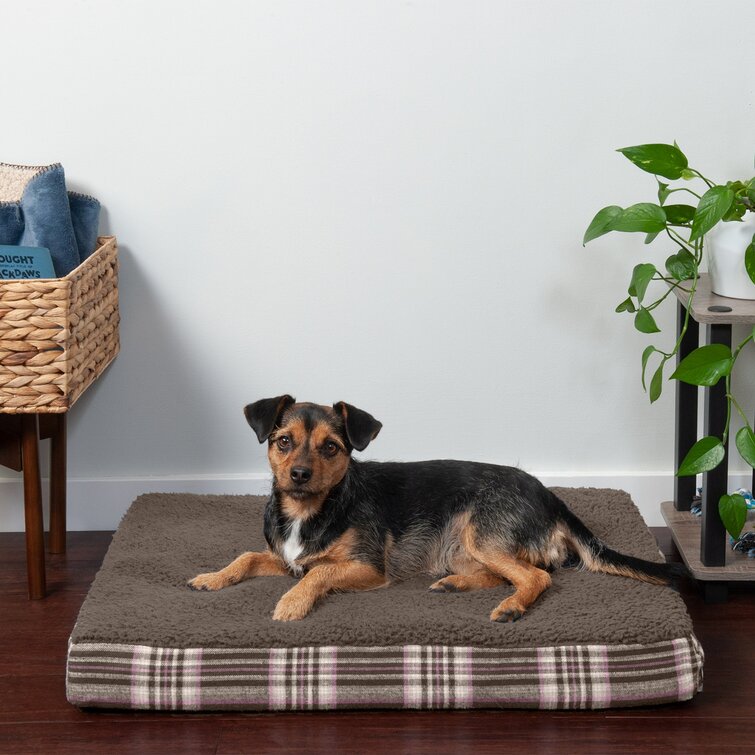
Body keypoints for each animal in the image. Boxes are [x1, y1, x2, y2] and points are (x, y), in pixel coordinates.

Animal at [190, 398, 684, 624]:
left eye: (331, 447)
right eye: (283, 441)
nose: (298, 474)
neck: (312, 508)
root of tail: (550, 496)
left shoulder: (368, 568)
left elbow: (321, 572)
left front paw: (291, 602)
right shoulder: (285, 557)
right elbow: (247, 556)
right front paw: (212, 577)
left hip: (479, 532)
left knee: (536, 577)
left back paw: (511, 607)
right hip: (464, 548)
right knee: (509, 573)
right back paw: (455, 584)